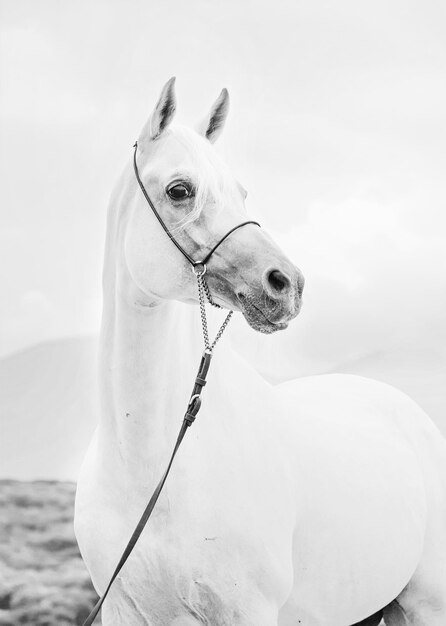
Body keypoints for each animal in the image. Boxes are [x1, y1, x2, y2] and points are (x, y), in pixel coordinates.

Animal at [75, 79, 446, 624]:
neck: (152, 471)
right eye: (180, 190)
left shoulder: (248, 610)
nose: (287, 284)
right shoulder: (124, 611)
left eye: (242, 192)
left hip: (425, 604)